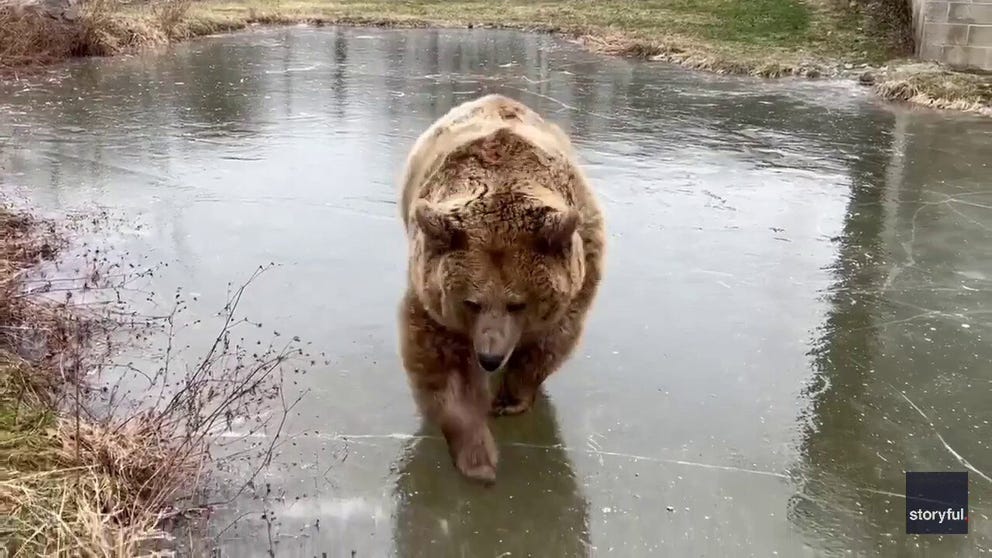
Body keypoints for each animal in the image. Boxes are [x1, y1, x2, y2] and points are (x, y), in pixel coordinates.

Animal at [396, 94, 604, 484]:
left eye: (518, 303)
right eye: (471, 302)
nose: (490, 358)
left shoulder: (578, 273)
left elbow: (550, 342)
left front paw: (511, 398)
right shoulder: (431, 291)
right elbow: (437, 359)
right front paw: (477, 458)